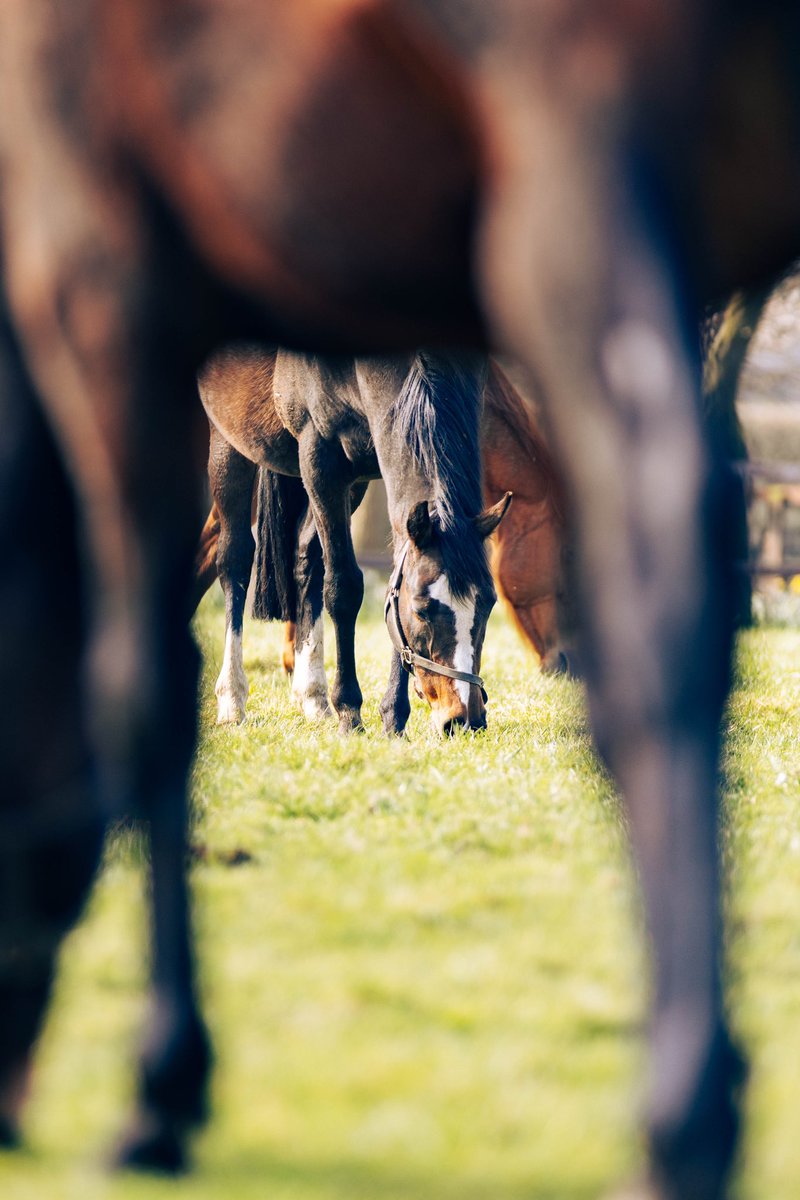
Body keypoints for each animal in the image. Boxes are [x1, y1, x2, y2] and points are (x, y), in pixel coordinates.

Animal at [1, 0, 800, 1195]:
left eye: (480, 613)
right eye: (439, 617)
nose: (465, 713)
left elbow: (354, 583)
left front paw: (375, 707)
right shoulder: (322, 459)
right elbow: (342, 584)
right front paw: (346, 706)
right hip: (229, 451)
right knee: (238, 568)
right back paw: (253, 694)